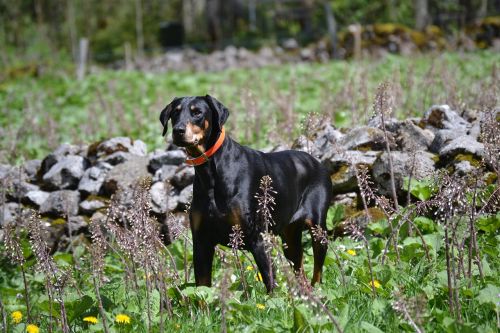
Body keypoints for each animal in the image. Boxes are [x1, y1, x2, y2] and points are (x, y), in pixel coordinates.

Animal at [160, 94, 332, 290]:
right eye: (175, 113)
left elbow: (271, 283)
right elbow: (202, 288)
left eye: (197, 112)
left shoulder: (258, 239)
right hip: (290, 238)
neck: (211, 172)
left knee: (317, 270)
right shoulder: (201, 242)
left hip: (318, 230)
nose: (178, 130)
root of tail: (317, 162)